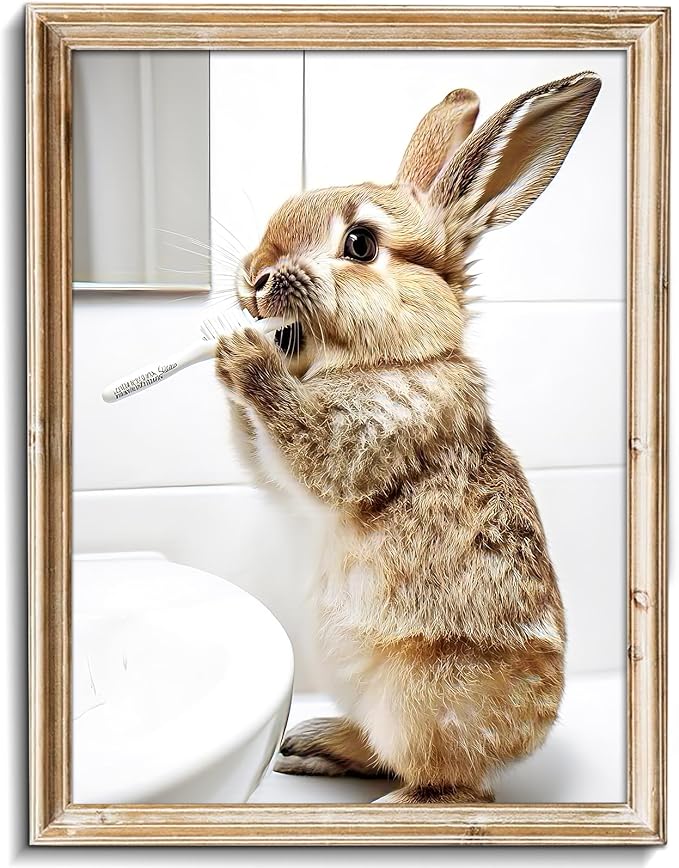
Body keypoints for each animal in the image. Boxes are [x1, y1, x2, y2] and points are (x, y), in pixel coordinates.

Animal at [215, 71, 601, 804]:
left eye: (361, 245)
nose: (254, 277)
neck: (397, 357)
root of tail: (532, 731)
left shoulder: (360, 440)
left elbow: (301, 442)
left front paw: (245, 356)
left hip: (419, 703)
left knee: (448, 788)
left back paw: (386, 806)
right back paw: (310, 746)